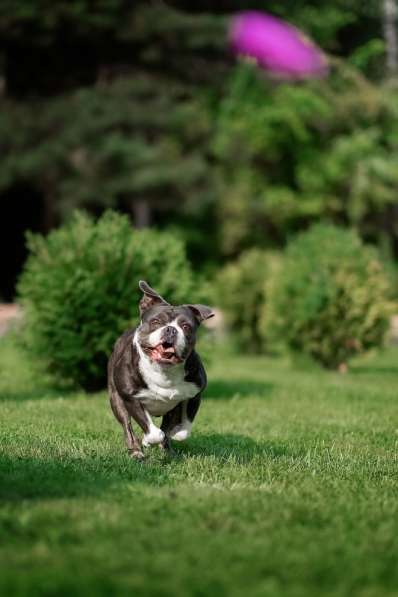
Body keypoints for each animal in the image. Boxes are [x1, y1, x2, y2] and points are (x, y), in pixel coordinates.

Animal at [107, 280, 213, 456]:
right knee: (127, 426)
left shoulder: (194, 395)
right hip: (116, 398)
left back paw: (167, 450)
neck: (164, 370)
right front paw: (148, 440)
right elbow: (154, 431)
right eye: (156, 322)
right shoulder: (131, 398)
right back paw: (136, 451)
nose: (171, 329)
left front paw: (175, 433)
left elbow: (183, 428)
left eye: (186, 326)